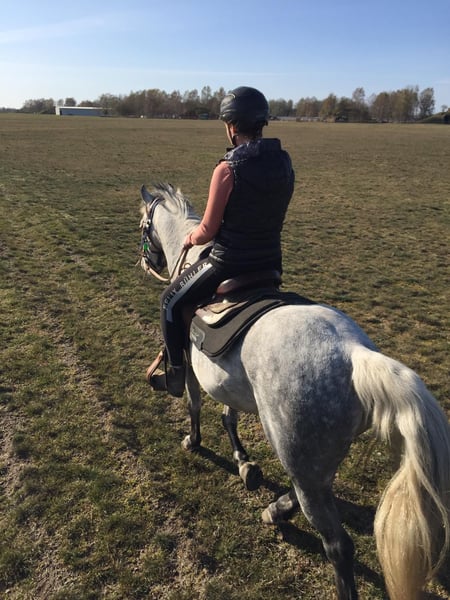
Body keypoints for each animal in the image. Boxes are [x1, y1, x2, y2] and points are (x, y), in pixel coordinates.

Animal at [138, 182, 450, 600]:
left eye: (143, 226)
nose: (145, 262)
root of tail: (355, 354)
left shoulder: (188, 366)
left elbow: (194, 405)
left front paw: (194, 441)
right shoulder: (227, 382)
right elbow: (229, 416)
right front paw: (244, 462)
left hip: (296, 452)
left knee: (338, 545)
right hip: (314, 461)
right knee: (306, 496)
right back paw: (274, 510)